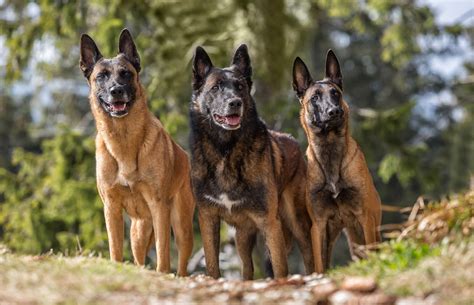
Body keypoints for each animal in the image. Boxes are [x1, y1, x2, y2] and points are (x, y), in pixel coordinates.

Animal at [79, 29, 194, 276]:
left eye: (126, 73)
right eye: (101, 76)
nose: (116, 91)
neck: (124, 142)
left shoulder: (159, 206)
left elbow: (163, 254)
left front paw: (161, 273)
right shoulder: (111, 207)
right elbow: (115, 249)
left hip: (181, 226)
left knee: (181, 261)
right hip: (139, 232)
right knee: (140, 258)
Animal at [189, 44, 314, 280]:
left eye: (240, 86)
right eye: (216, 88)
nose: (235, 102)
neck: (225, 151)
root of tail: (292, 140)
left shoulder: (269, 222)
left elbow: (280, 268)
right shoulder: (208, 218)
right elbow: (212, 265)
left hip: (297, 223)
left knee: (312, 255)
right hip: (242, 237)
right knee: (247, 268)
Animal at [292, 50, 382, 274]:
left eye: (335, 94)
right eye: (315, 97)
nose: (334, 111)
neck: (330, 150)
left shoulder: (364, 217)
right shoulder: (319, 225)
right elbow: (319, 264)